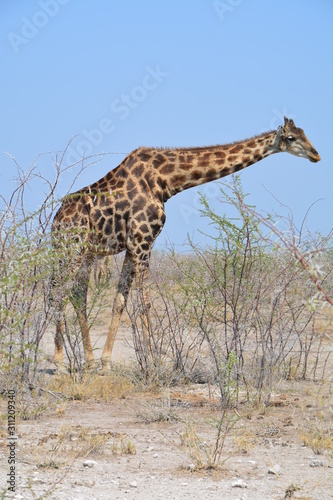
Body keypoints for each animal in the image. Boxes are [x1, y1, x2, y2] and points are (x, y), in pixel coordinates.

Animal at [52, 115, 320, 370]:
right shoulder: (143, 241)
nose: (316, 154)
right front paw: (155, 363)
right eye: (291, 138)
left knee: (77, 295)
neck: (166, 181)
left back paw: (87, 361)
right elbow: (145, 303)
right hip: (71, 250)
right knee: (58, 292)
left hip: (86, 254)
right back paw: (58, 361)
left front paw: (106, 363)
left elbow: (120, 301)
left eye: (304, 132)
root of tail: (55, 222)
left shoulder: (132, 246)